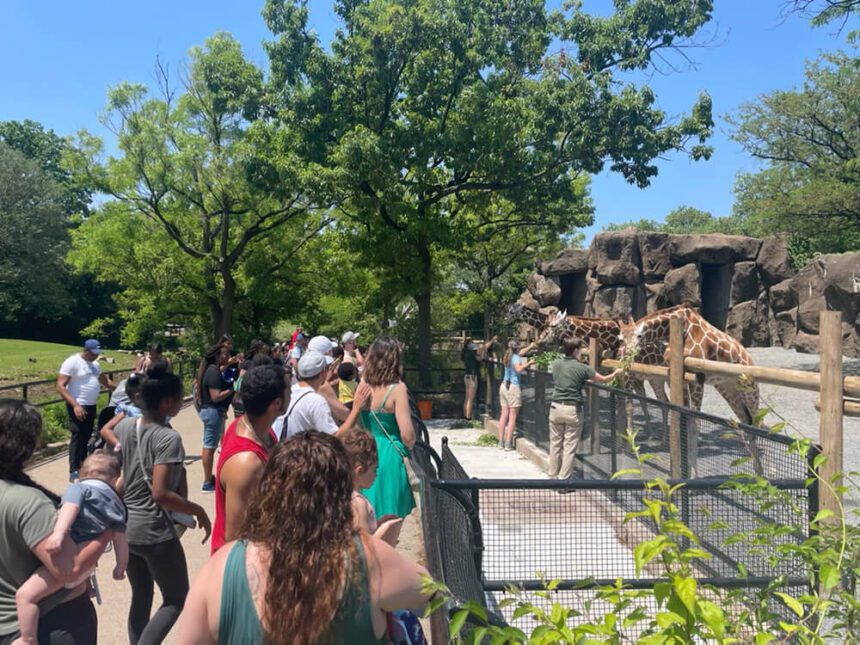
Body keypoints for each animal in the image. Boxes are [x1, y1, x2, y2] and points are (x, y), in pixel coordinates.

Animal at [620, 304, 764, 476]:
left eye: (640, 335)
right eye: (621, 338)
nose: (627, 354)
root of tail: (750, 360)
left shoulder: (697, 377)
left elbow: (695, 424)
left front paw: (693, 474)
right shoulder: (680, 376)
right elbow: (684, 418)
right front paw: (685, 470)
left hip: (750, 390)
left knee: (758, 424)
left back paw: (761, 473)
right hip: (730, 391)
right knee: (747, 424)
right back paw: (758, 473)